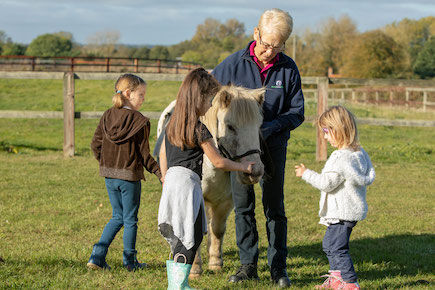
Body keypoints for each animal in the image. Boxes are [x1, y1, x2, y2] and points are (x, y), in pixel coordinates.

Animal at [155, 85, 268, 276]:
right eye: (230, 126)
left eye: (258, 126)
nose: (255, 171)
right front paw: (194, 268)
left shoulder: (225, 202)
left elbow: (217, 229)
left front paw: (215, 262)